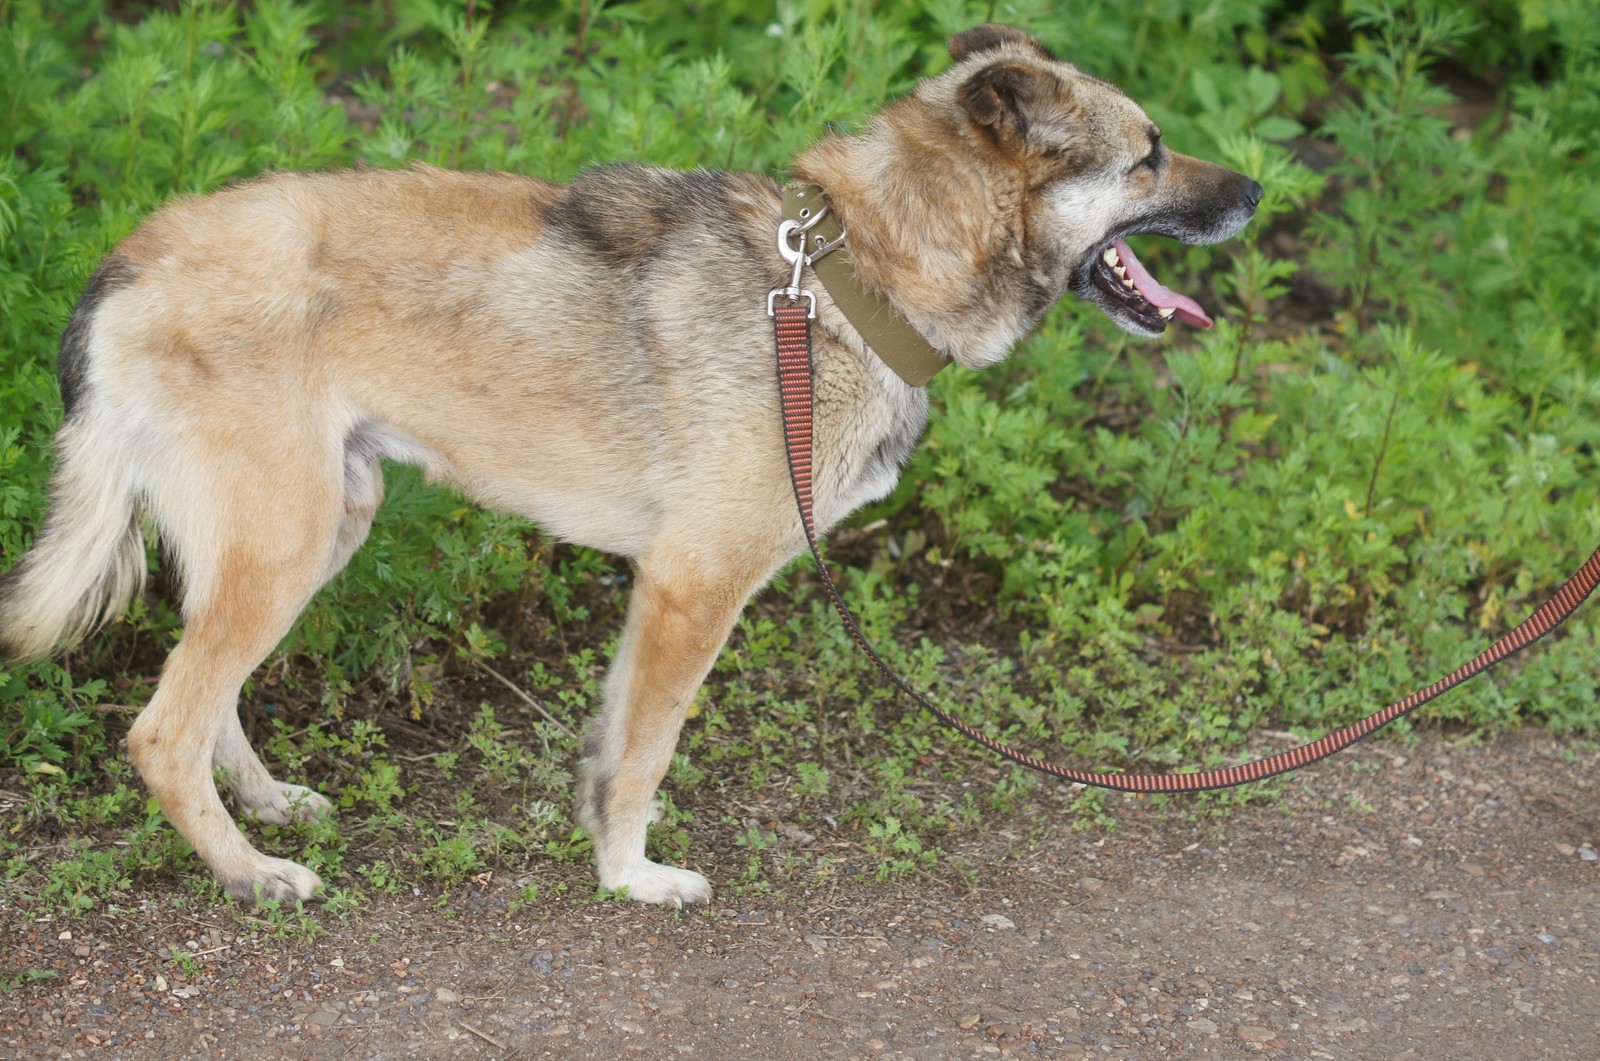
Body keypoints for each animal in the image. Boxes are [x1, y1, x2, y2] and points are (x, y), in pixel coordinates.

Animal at [0, 24, 1260, 902]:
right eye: (1147, 156)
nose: (1258, 190)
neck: (854, 282)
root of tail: (130, 256)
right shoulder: (693, 586)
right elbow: (647, 754)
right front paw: (631, 878)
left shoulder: (660, 593)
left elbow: (612, 748)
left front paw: (608, 852)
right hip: (285, 544)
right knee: (161, 729)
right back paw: (250, 873)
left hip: (307, 534)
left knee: (207, 692)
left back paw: (265, 806)